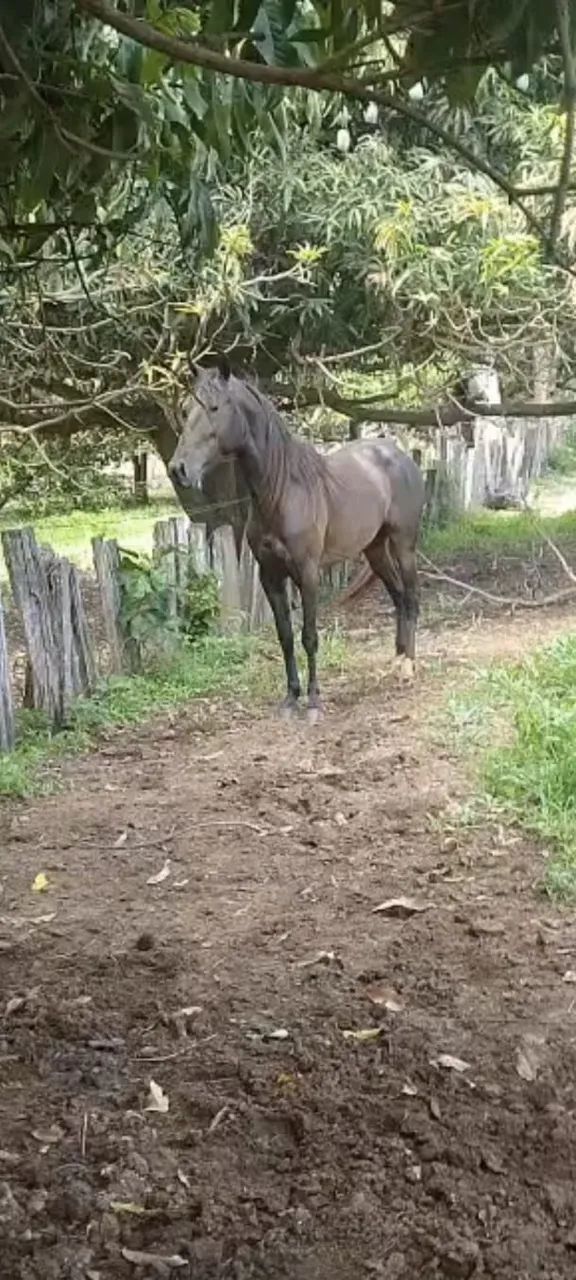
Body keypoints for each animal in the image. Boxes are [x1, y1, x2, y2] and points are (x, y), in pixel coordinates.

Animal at [169, 360, 426, 722]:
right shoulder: (271, 576)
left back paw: (408, 667)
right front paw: (291, 697)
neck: (283, 489)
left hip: (404, 546)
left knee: (412, 598)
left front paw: (314, 700)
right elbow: (286, 636)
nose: (178, 469)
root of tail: (399, 455)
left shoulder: (308, 574)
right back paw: (398, 659)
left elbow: (309, 636)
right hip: (375, 550)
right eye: (185, 408)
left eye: (215, 407)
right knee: (400, 597)